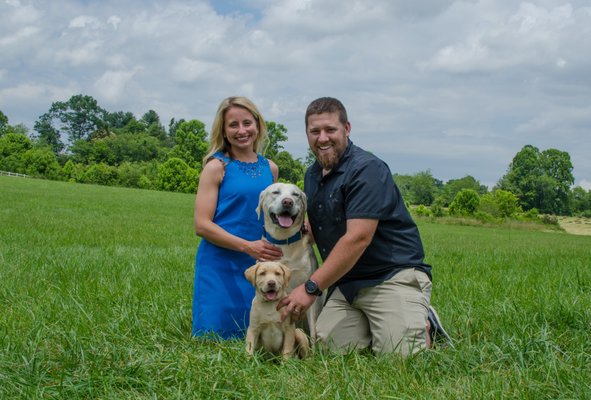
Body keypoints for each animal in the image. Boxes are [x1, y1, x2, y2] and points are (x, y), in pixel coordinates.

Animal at [258, 182, 324, 340]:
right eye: (275, 192)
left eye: (296, 195)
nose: (287, 202)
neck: (284, 241)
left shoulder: (308, 295)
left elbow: (313, 331)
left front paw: (313, 348)